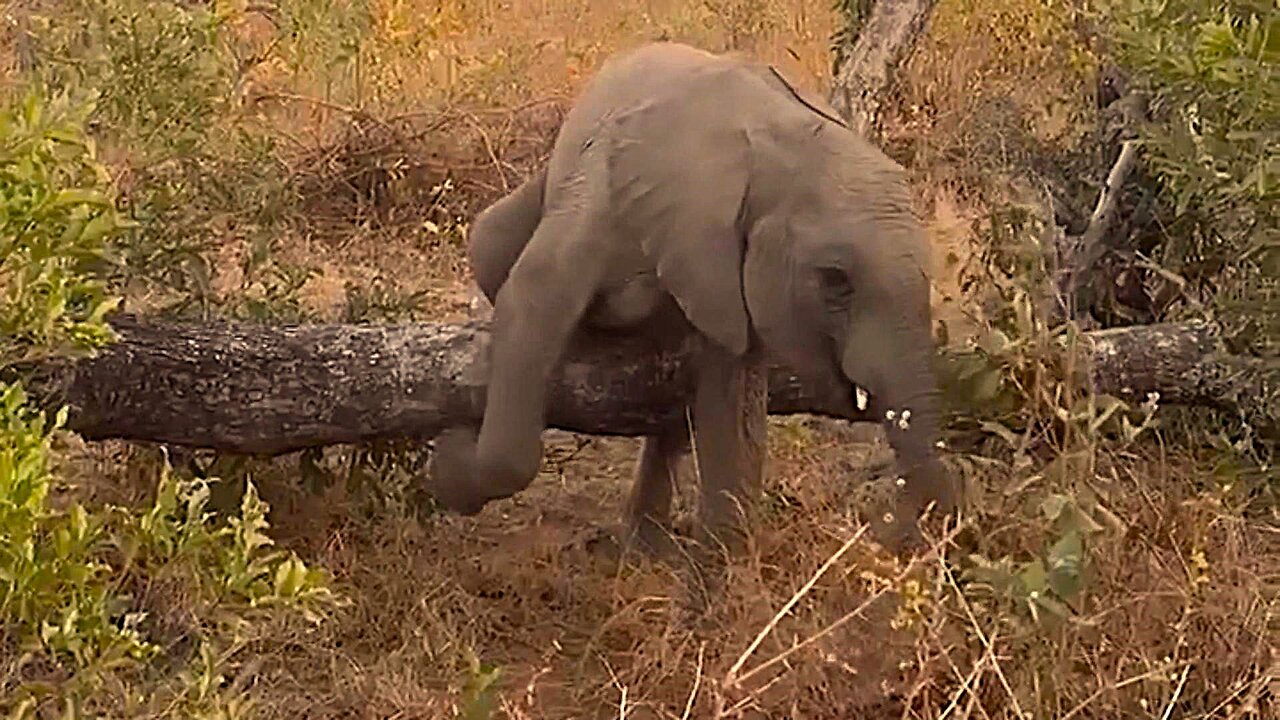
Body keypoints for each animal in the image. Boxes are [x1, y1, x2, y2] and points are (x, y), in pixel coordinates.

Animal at [430, 40, 962, 566]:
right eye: (835, 280)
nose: (891, 531)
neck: (778, 144)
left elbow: (731, 401)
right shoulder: (613, 190)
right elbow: (533, 299)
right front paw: (446, 458)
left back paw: (645, 551)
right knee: (492, 241)